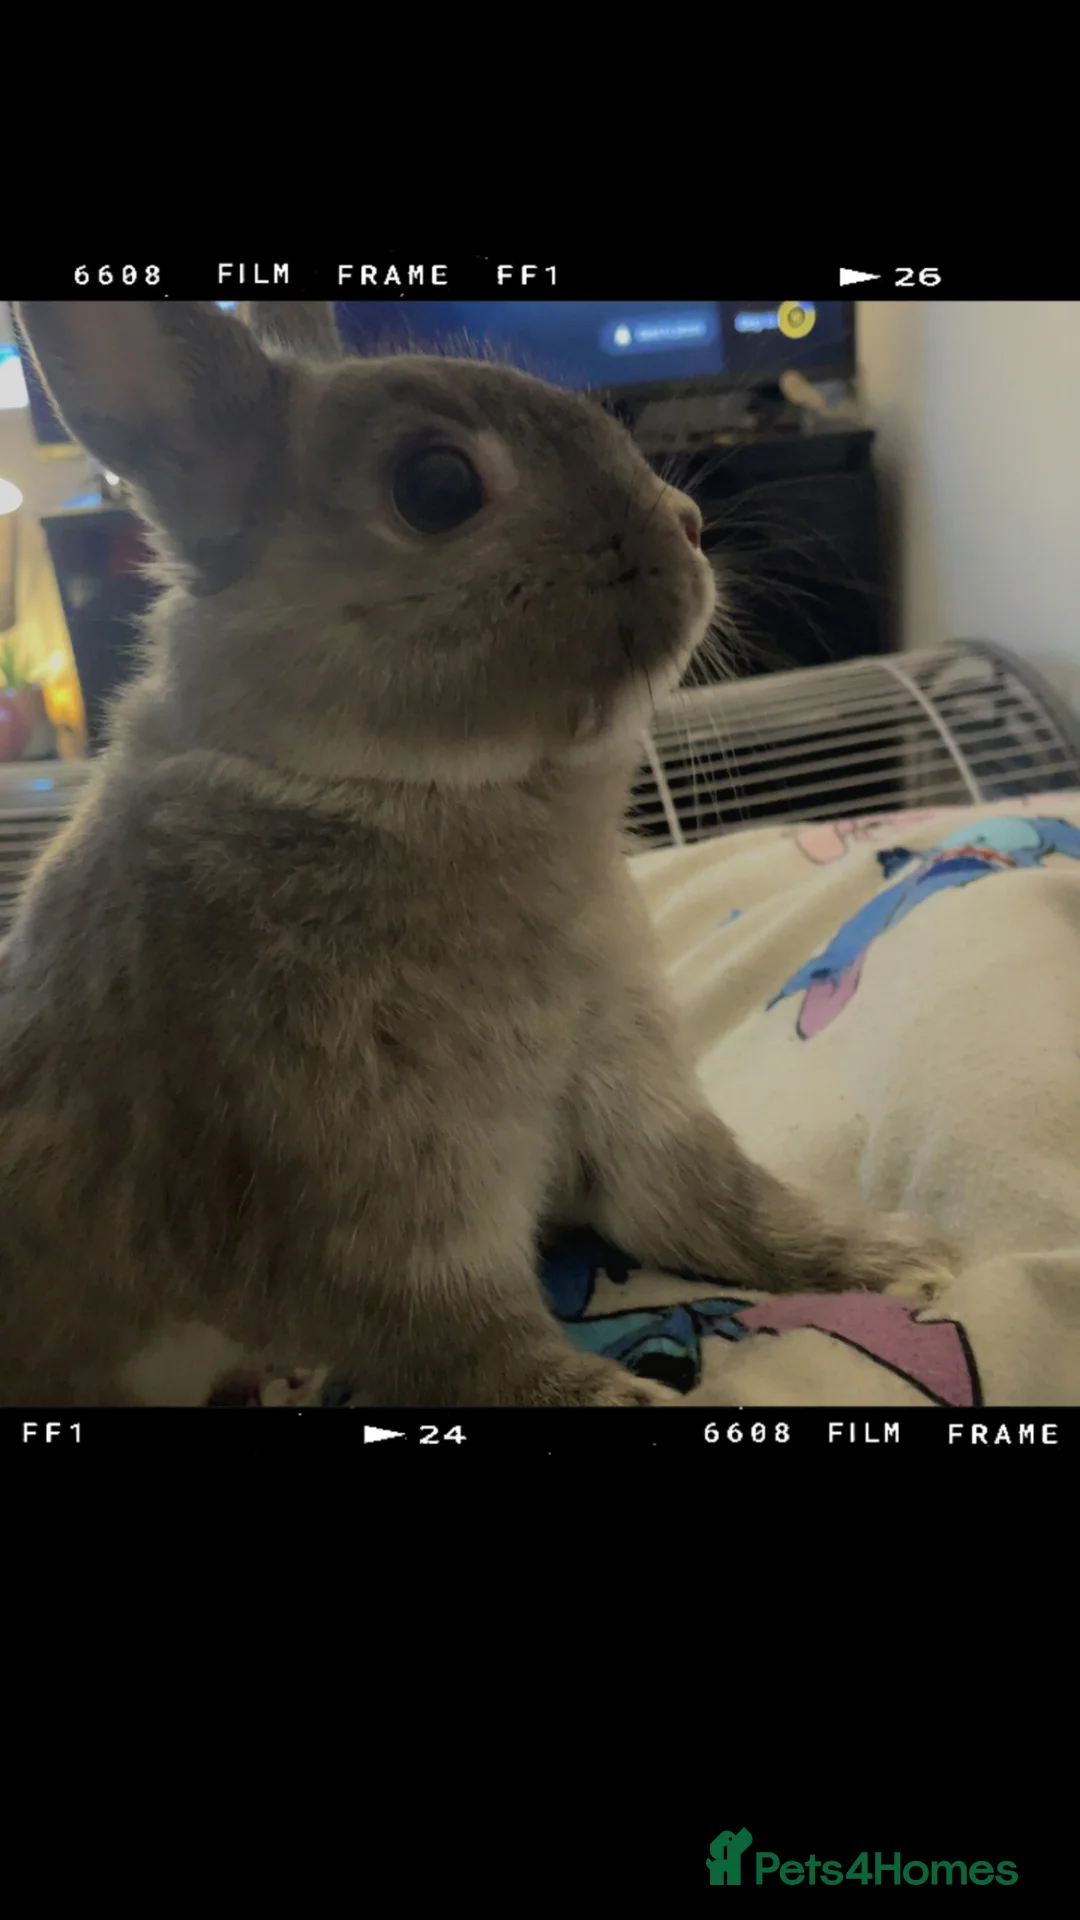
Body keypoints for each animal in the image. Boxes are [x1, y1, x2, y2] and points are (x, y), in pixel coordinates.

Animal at [0, 299, 952, 1409]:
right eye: (438, 486)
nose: (688, 521)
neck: (418, 793)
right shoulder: (366, 1195)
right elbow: (469, 1340)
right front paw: (613, 1399)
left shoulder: (631, 1097)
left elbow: (719, 1207)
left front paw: (900, 1259)